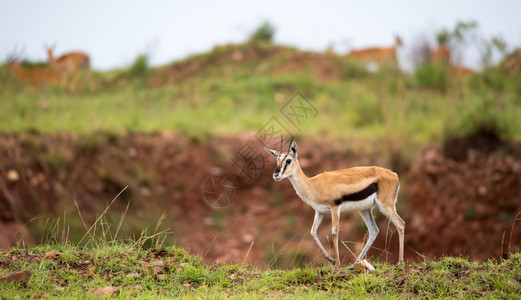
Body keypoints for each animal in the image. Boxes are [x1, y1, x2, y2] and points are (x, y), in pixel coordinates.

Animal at [266, 138, 404, 272]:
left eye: (288, 160)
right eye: (277, 160)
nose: (276, 175)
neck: (313, 184)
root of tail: (394, 175)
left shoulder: (334, 208)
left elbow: (334, 232)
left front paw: (336, 266)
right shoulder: (320, 211)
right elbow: (313, 232)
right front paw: (331, 260)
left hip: (385, 207)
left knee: (400, 224)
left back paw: (400, 264)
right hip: (364, 210)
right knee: (374, 230)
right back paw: (353, 265)